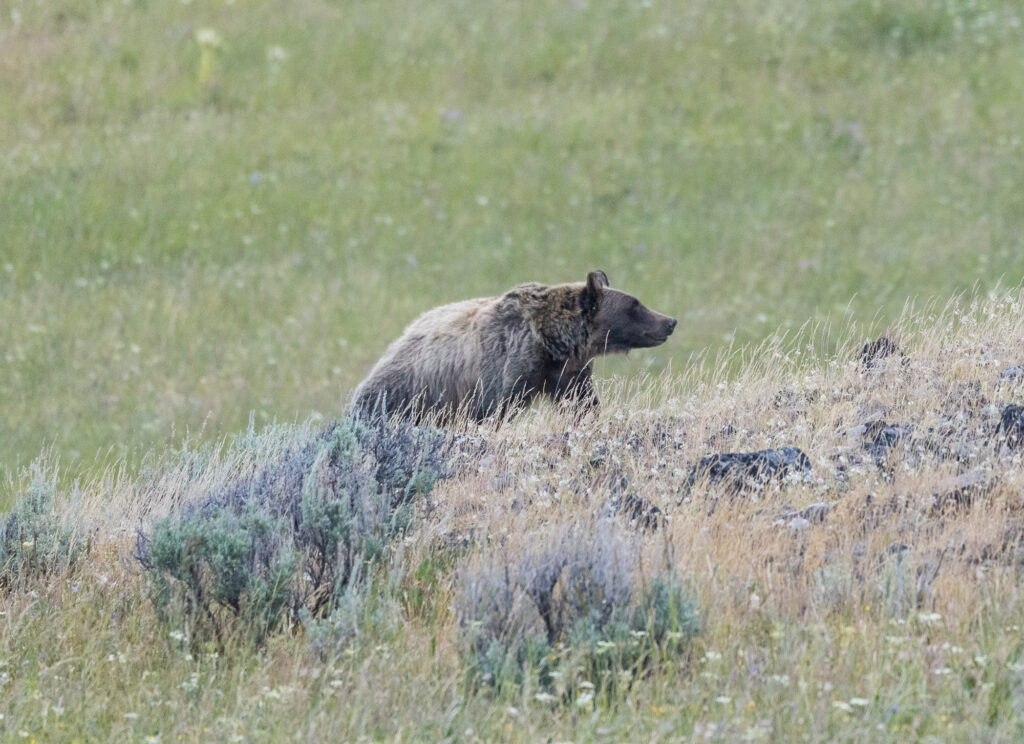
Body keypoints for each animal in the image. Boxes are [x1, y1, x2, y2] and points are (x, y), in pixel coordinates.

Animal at [351, 270, 676, 423]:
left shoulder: (568, 372)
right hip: (408, 391)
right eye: (635, 305)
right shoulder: (509, 363)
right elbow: (497, 408)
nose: (670, 321)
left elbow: (581, 403)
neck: (551, 343)